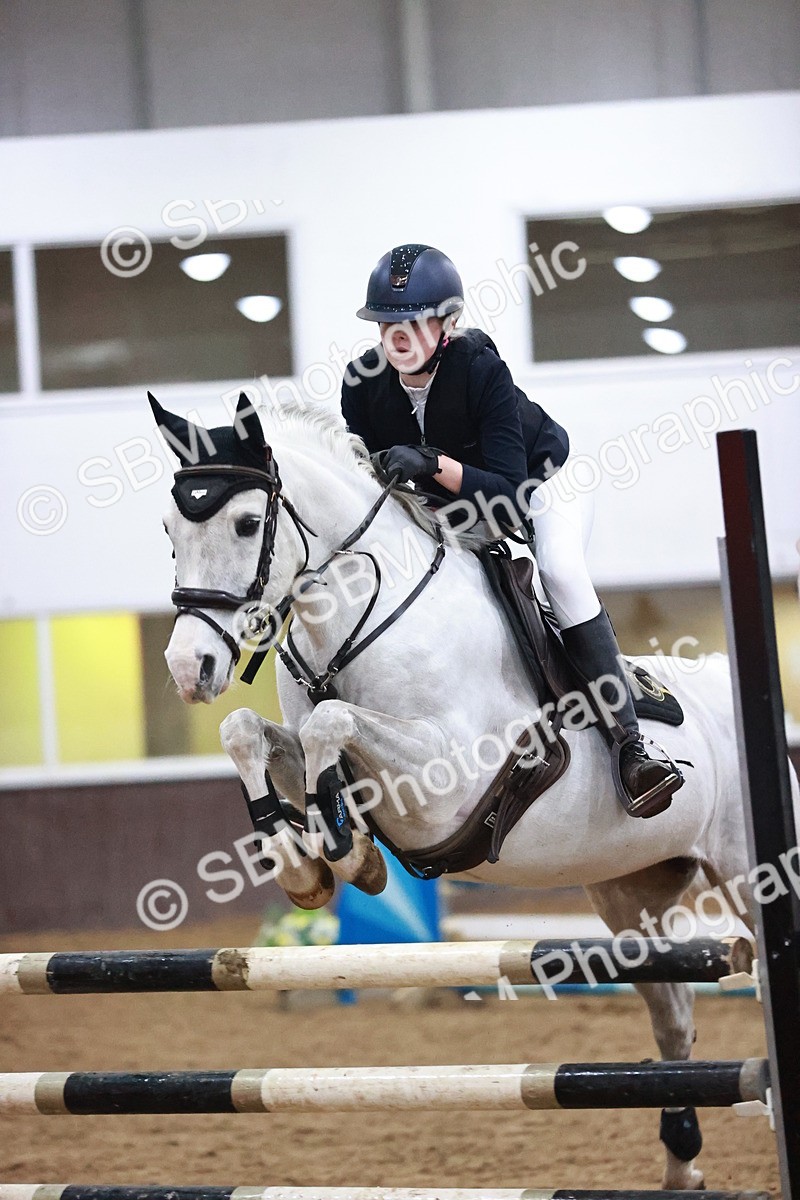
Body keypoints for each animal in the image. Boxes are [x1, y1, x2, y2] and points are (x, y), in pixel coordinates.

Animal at [152, 390, 766, 1191]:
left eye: (248, 524)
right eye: (170, 530)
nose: (188, 668)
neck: (358, 619)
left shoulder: (448, 778)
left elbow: (329, 721)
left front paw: (346, 853)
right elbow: (251, 732)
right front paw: (306, 860)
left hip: (749, 875)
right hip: (630, 897)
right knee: (675, 1017)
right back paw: (682, 1166)